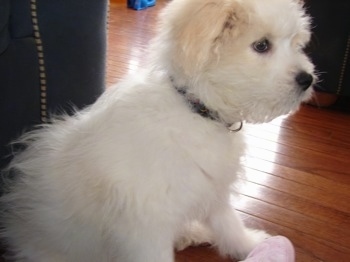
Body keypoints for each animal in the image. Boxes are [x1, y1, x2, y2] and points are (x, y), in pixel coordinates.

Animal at [0, 0, 314, 260]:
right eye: (261, 45)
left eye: (295, 43)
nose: (307, 79)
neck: (196, 111)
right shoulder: (147, 227)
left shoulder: (212, 191)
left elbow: (229, 224)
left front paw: (253, 245)